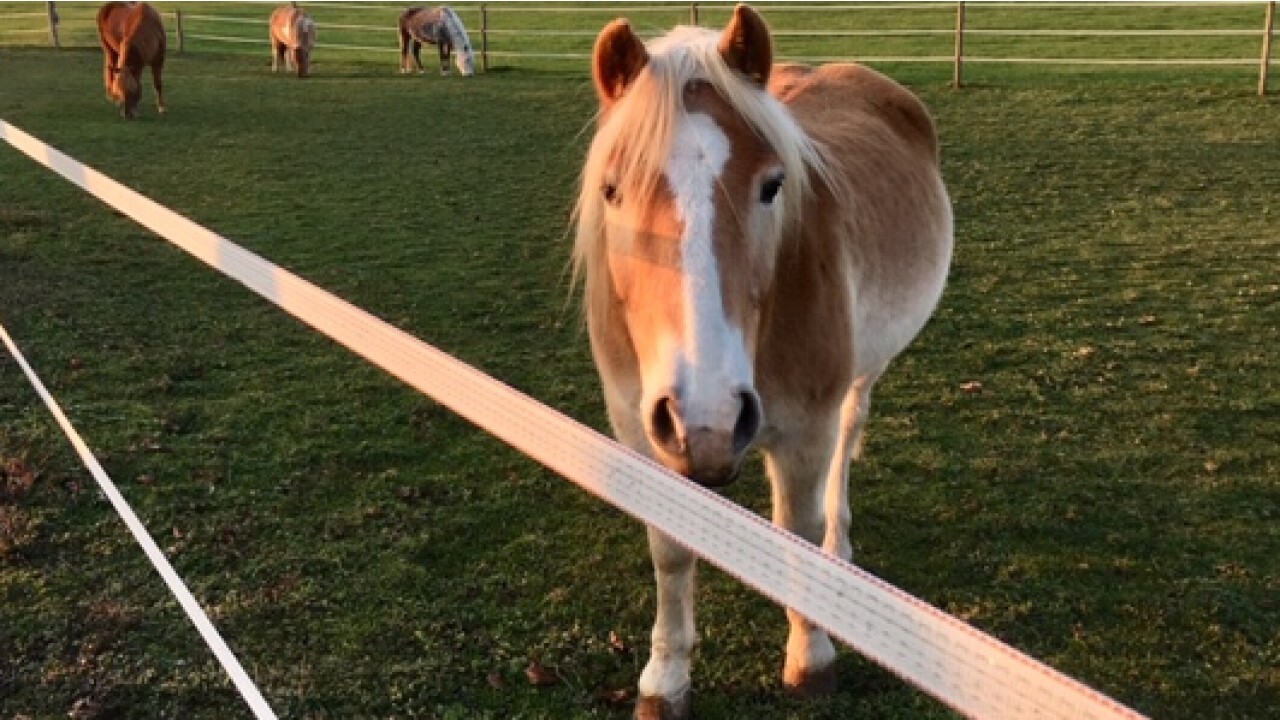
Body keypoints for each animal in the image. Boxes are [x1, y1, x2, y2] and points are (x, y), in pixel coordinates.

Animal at [576, 4, 957, 712]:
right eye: (612, 190)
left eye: (772, 186)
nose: (708, 418)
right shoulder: (641, 434)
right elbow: (670, 549)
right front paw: (665, 676)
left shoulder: (804, 431)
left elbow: (798, 532)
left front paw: (810, 658)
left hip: (859, 376)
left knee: (848, 435)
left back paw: (841, 547)